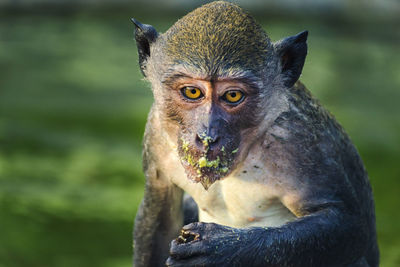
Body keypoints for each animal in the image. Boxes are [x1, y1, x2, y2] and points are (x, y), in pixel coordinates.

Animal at [130, 1, 378, 266]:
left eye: (232, 95)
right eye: (192, 92)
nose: (208, 137)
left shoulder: (300, 142)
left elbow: (349, 224)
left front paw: (219, 250)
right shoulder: (156, 130)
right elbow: (160, 214)